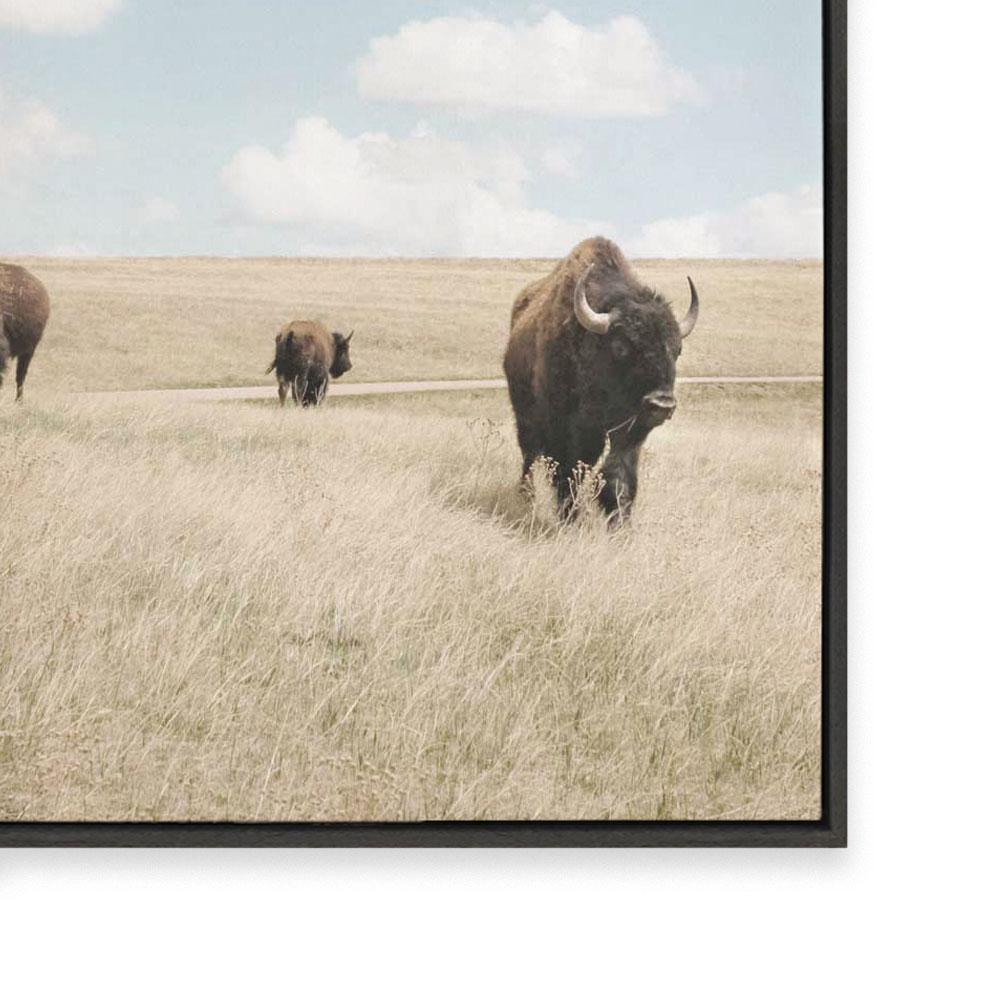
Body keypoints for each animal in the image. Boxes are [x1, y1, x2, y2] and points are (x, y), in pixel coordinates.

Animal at [503, 237, 698, 525]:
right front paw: (570, 519)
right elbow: (567, 469)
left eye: (677, 350)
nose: (661, 404)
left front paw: (620, 523)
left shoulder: (629, 429)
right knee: (529, 455)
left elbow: (617, 475)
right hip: (524, 415)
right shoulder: (564, 426)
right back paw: (527, 498)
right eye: (620, 346)